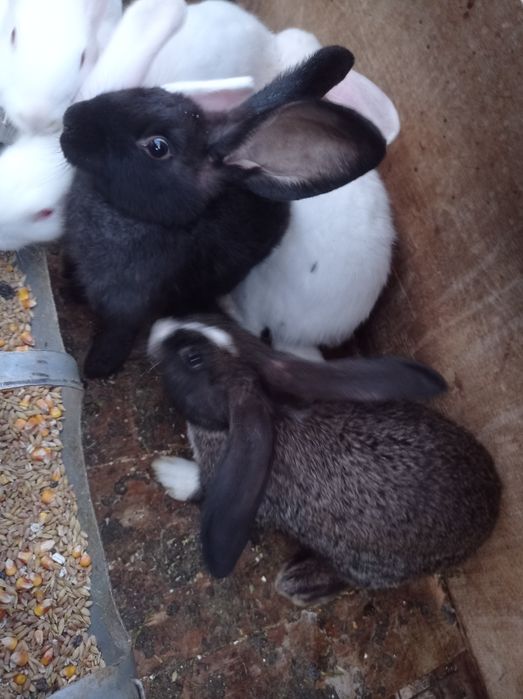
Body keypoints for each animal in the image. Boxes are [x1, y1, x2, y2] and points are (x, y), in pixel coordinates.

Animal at [59, 46, 387, 379]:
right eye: (151, 91)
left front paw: (96, 369)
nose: (71, 118)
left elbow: (116, 337)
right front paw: (69, 291)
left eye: (158, 147)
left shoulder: (128, 307)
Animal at [149, 315, 501, 606]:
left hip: (367, 563)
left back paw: (297, 583)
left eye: (193, 358)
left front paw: (168, 473)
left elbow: (203, 488)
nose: (157, 328)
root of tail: (488, 517)